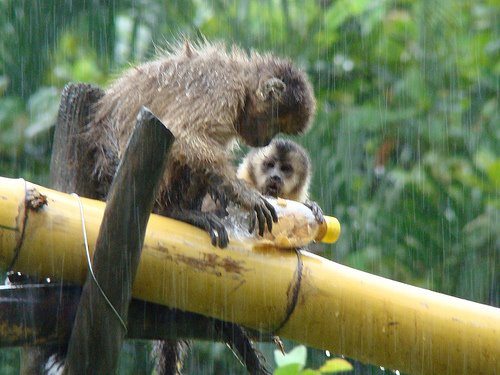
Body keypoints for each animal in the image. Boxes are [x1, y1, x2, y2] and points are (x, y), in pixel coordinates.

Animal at [85, 40, 312, 250]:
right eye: (275, 124)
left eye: (280, 129)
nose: (267, 140)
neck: (241, 80)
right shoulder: (223, 89)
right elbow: (184, 134)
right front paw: (246, 195)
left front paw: (223, 190)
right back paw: (173, 212)